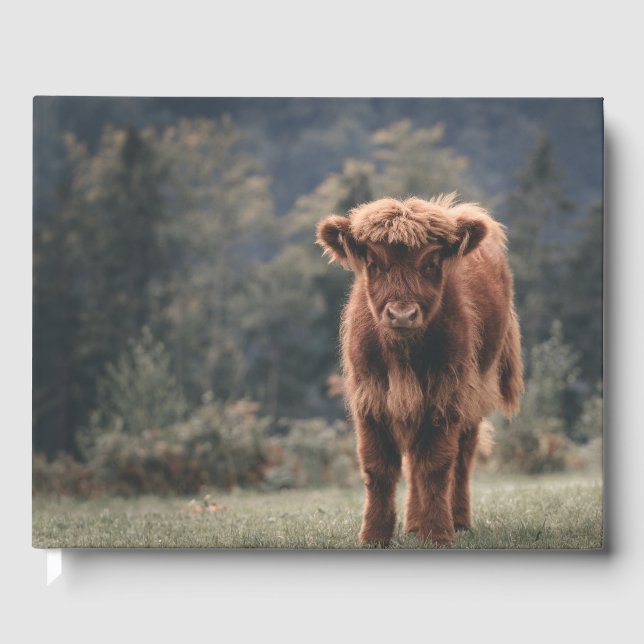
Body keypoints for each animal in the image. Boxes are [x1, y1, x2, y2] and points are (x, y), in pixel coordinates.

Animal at [316, 194, 524, 546]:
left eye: (430, 264)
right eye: (374, 263)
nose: (402, 314)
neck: (403, 356)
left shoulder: (446, 394)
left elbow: (436, 466)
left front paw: (438, 533)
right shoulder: (370, 398)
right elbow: (378, 467)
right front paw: (374, 536)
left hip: (475, 392)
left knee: (462, 457)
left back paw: (458, 521)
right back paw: (413, 525)